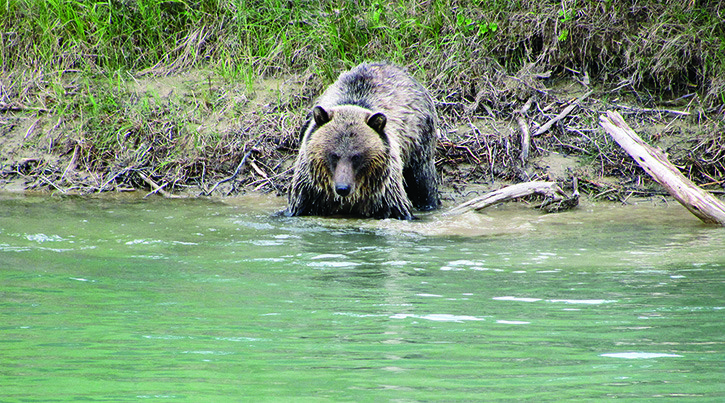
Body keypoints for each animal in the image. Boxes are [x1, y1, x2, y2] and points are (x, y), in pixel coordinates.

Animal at [286, 62, 438, 221]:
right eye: (334, 155)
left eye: (356, 156)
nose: (342, 188)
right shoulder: (310, 189)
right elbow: (298, 206)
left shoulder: (383, 189)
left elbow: (397, 207)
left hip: (419, 140)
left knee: (422, 180)